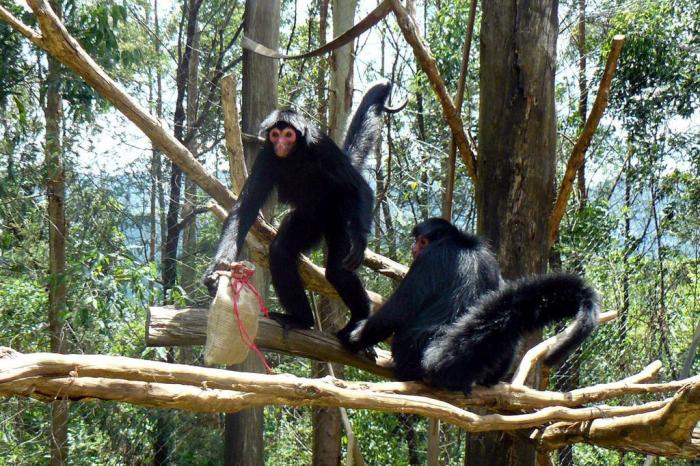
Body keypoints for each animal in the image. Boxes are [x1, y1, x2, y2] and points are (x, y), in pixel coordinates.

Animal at [348, 218, 600, 394]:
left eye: (422, 241)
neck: (462, 243)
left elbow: (397, 312)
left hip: (408, 351)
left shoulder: (431, 256)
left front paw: (356, 339)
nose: (414, 248)